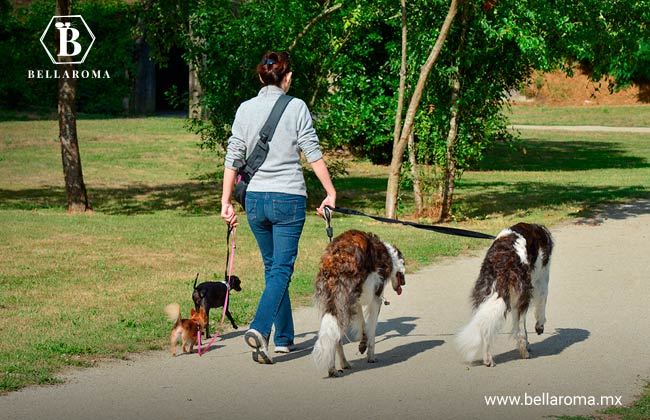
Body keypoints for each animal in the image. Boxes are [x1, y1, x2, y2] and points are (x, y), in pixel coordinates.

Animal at [312, 230, 402, 378]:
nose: (402, 285)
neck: (388, 255)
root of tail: (336, 259)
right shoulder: (376, 299)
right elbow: (371, 330)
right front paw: (370, 355)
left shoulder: (357, 302)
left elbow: (363, 326)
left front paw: (362, 345)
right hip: (344, 302)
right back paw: (333, 369)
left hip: (336, 303)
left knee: (335, 337)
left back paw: (342, 364)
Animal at [456, 223, 552, 368]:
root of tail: (502, 262)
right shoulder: (541, 282)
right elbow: (541, 308)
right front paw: (539, 328)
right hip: (523, 296)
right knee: (519, 330)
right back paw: (524, 353)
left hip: (484, 294)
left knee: (485, 327)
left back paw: (488, 359)